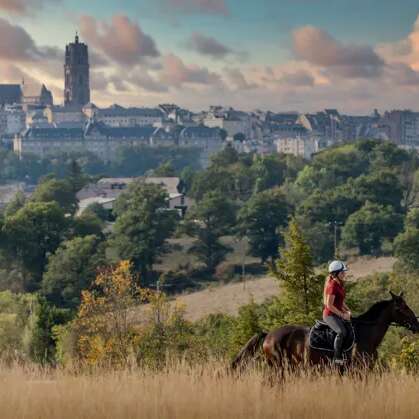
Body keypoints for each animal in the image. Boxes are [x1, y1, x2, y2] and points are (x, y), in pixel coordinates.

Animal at [231, 292, 419, 378]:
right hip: (280, 368)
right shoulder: (358, 371)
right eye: (401, 308)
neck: (366, 335)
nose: (416, 324)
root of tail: (269, 334)